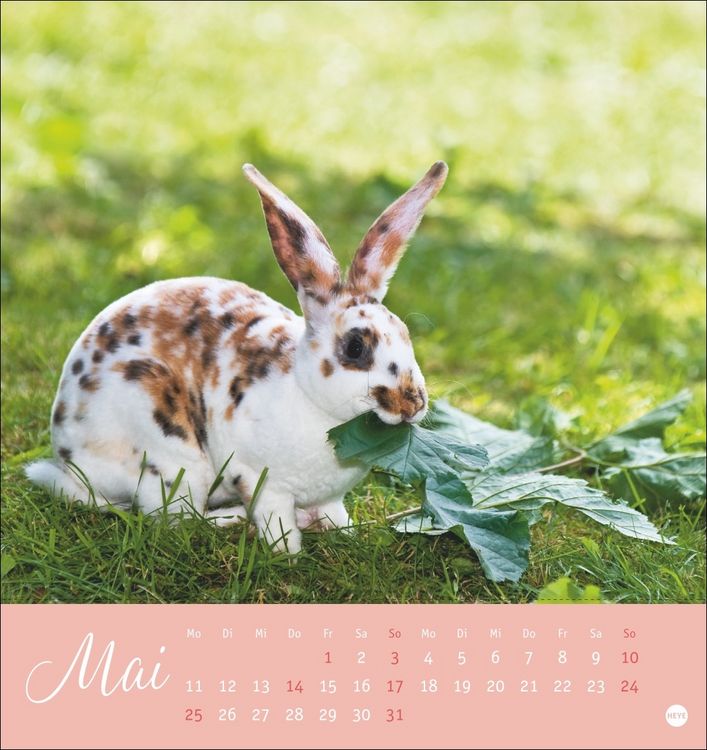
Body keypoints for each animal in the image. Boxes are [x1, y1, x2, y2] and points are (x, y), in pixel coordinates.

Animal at [26, 160, 448, 553]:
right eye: (355, 348)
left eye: (406, 334)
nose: (412, 403)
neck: (307, 398)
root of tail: (70, 459)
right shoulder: (260, 480)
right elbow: (275, 518)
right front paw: (287, 553)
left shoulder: (331, 495)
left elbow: (334, 511)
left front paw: (343, 531)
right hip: (169, 454)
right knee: (175, 517)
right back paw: (232, 520)